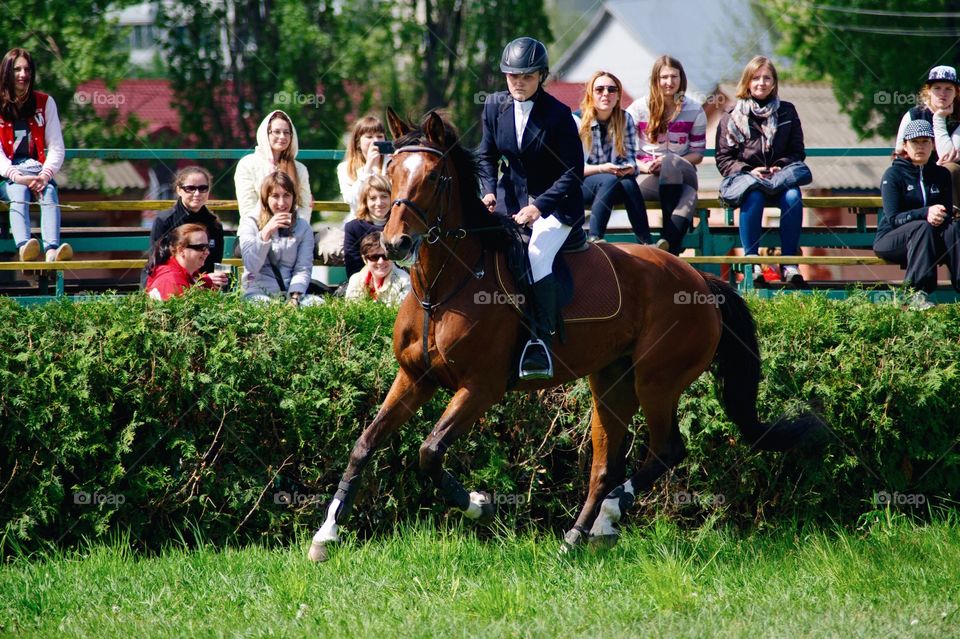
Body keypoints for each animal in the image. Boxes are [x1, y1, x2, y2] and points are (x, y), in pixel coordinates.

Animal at [308, 112, 816, 564]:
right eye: (391, 172)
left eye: (434, 178)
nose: (394, 244)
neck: (442, 286)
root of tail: (700, 280)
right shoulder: (415, 377)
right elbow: (364, 444)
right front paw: (326, 534)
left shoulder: (480, 387)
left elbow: (429, 452)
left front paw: (478, 505)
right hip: (611, 381)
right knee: (605, 466)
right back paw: (578, 536)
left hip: (657, 380)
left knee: (666, 449)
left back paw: (605, 518)